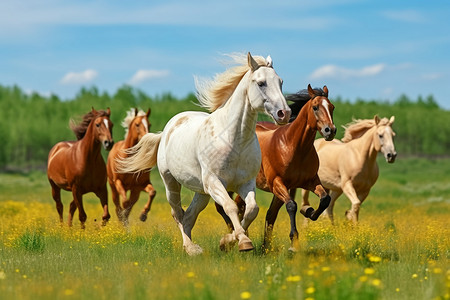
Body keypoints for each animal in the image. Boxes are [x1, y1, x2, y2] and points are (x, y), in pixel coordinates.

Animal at [118, 52, 290, 254]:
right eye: (261, 83)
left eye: (281, 82)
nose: (284, 113)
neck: (235, 141)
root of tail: (167, 130)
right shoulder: (214, 182)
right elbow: (231, 207)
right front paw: (242, 242)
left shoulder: (245, 183)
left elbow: (251, 210)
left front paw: (228, 242)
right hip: (171, 183)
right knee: (177, 213)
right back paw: (191, 248)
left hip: (202, 192)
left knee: (189, 215)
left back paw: (194, 246)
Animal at [216, 84, 336, 251]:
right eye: (315, 107)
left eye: (332, 107)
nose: (330, 131)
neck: (293, 147)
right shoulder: (277, 183)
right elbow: (291, 206)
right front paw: (293, 244)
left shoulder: (309, 181)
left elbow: (325, 199)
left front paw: (308, 211)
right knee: (223, 207)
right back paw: (232, 239)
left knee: (243, 206)